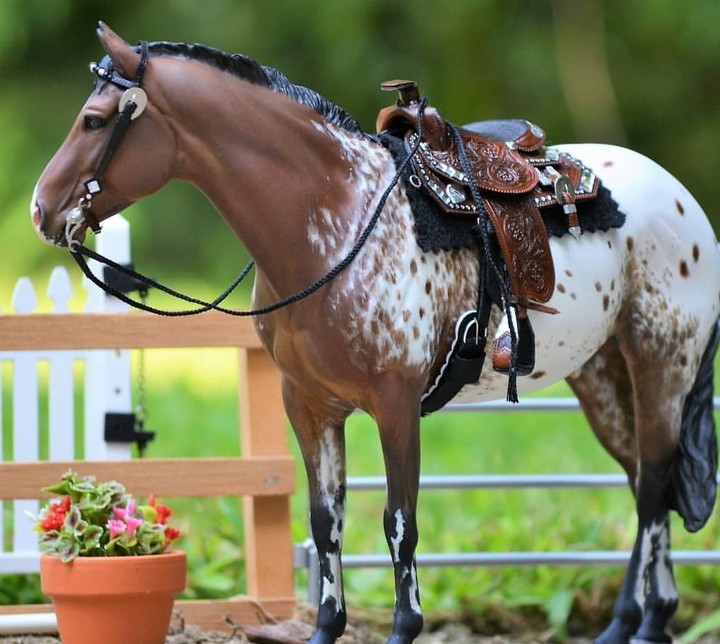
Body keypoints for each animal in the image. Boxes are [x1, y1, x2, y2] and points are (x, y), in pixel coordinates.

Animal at [31, 22, 720, 644]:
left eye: (95, 120)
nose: (41, 210)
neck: (335, 220)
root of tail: (682, 199)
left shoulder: (395, 403)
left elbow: (399, 521)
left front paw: (404, 627)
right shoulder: (307, 404)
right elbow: (325, 519)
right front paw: (325, 627)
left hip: (661, 365)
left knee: (653, 489)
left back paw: (649, 622)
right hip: (602, 377)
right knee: (645, 481)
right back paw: (630, 622)